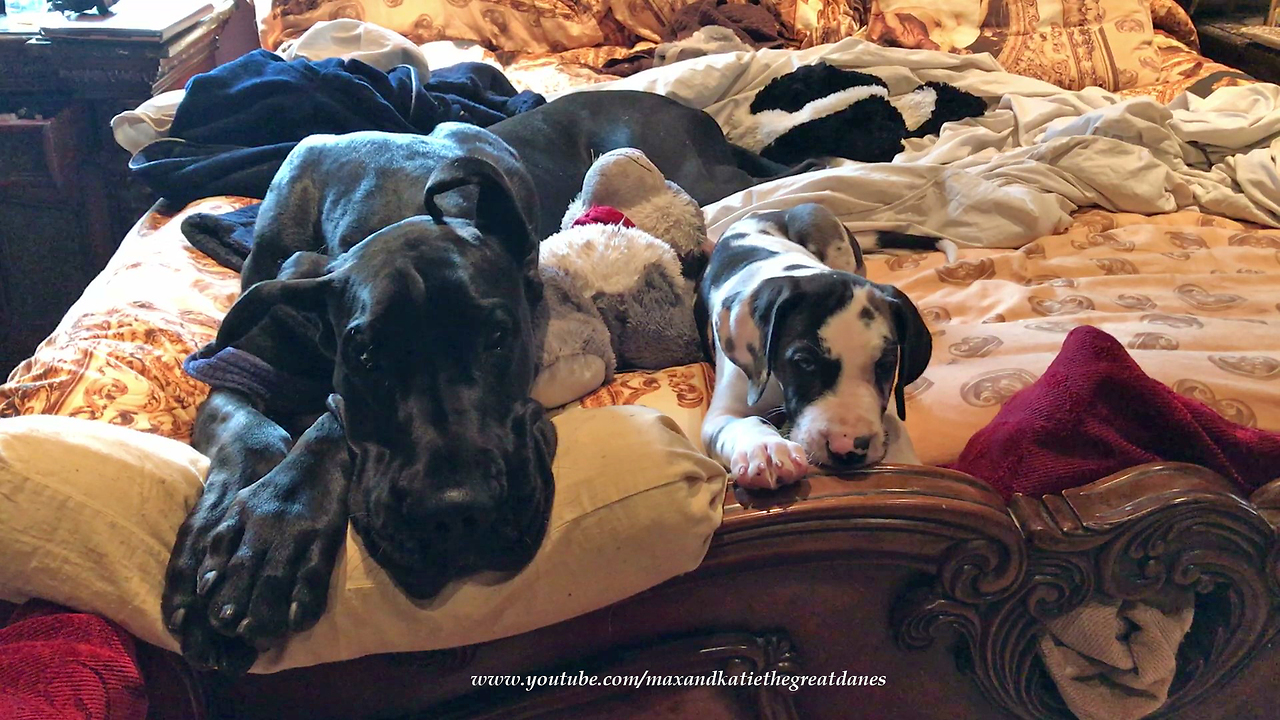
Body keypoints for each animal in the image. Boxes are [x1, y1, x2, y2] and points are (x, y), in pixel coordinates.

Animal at [701, 202, 931, 486]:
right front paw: (766, 448)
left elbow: (895, 425)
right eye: (804, 362)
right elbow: (743, 422)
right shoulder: (722, 413)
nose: (848, 450)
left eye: (886, 365)